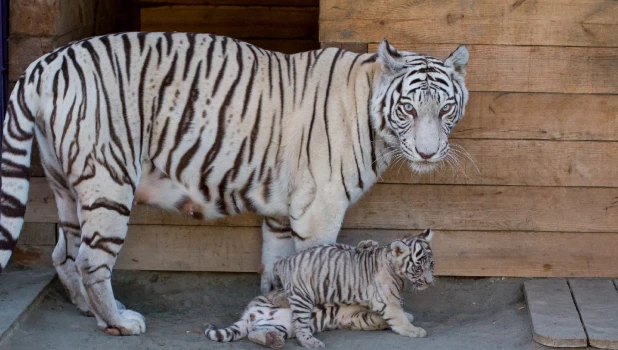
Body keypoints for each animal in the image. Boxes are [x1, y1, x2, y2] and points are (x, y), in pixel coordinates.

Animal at [0, 33, 466, 336]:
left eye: (445, 109)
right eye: (408, 109)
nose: (427, 153)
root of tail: (45, 63)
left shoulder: (283, 212)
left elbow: (278, 267)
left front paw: (275, 308)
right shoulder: (320, 208)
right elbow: (322, 267)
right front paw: (338, 317)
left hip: (65, 184)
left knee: (63, 253)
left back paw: (91, 312)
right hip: (108, 180)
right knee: (90, 260)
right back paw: (119, 323)